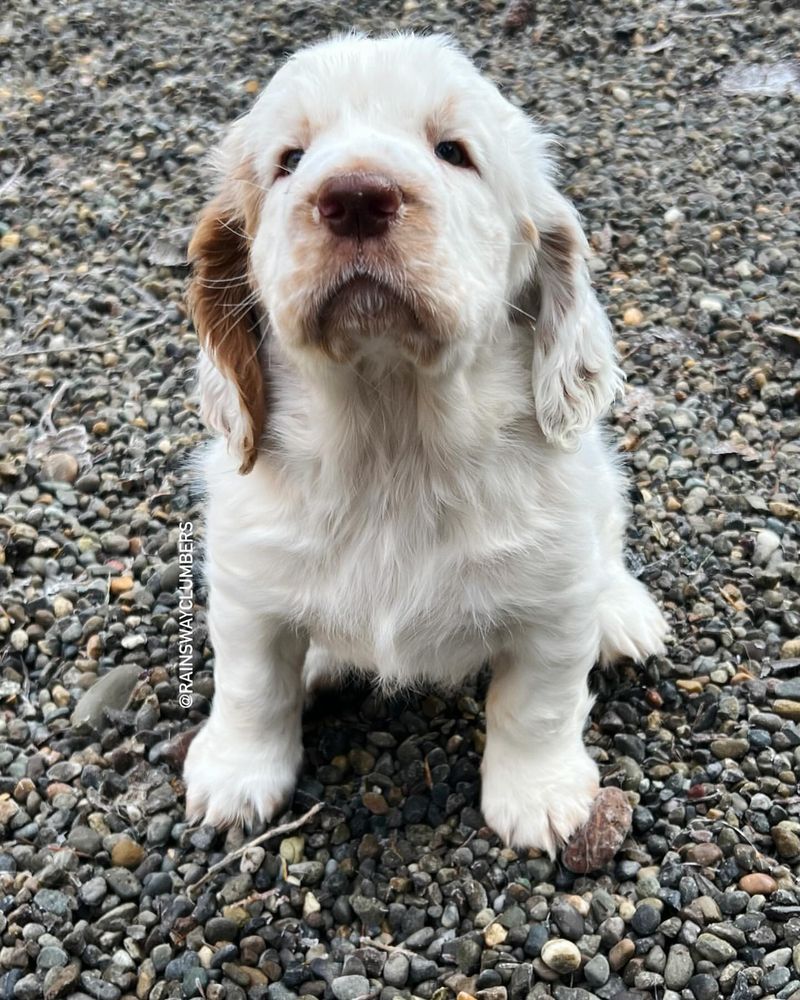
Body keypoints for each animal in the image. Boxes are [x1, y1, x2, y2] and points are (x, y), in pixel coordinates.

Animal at [183, 35, 668, 856]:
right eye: (289, 160)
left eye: (453, 152)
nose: (354, 197)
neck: (392, 434)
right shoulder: (246, 581)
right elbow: (251, 684)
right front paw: (236, 775)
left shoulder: (554, 596)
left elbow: (537, 700)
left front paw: (540, 797)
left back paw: (623, 613)